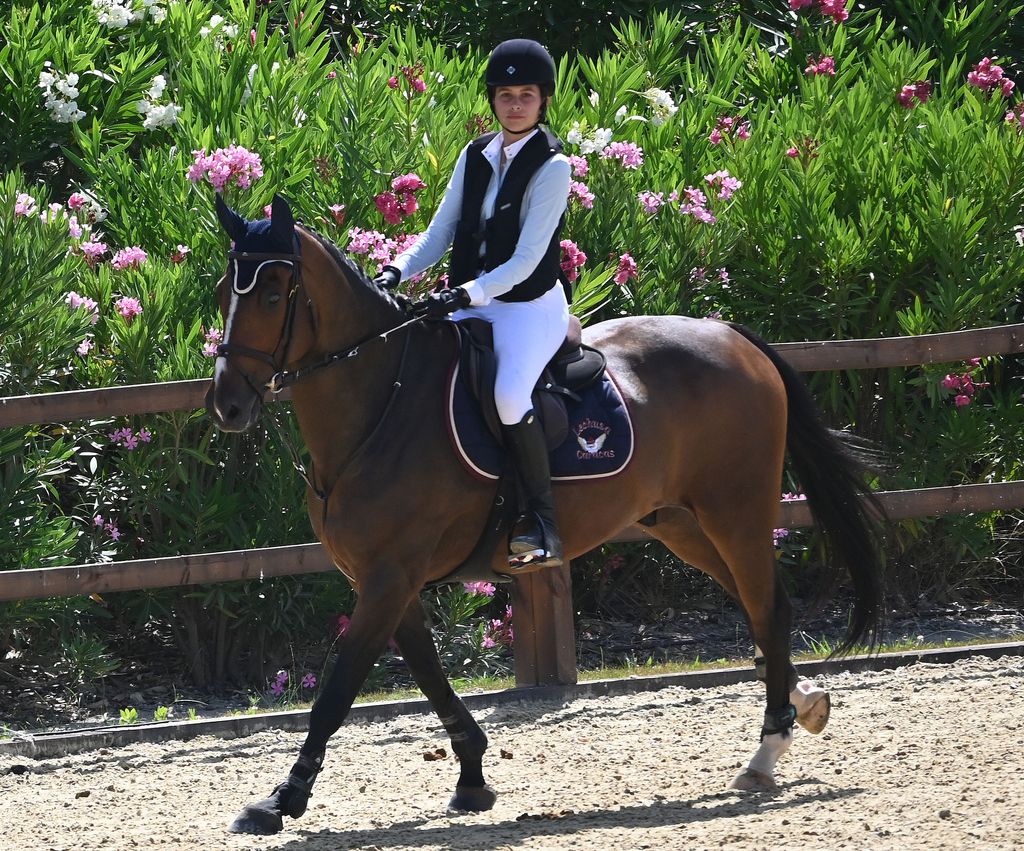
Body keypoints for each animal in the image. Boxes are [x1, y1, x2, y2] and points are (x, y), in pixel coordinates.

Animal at [209, 191, 888, 831]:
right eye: (224, 292)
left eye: (272, 293)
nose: (228, 406)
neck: (383, 404)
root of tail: (730, 335)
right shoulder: (384, 580)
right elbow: (429, 673)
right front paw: (472, 776)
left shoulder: (389, 578)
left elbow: (337, 691)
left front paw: (280, 800)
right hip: (683, 525)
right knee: (761, 605)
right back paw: (804, 704)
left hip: (735, 513)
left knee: (766, 606)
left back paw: (766, 751)